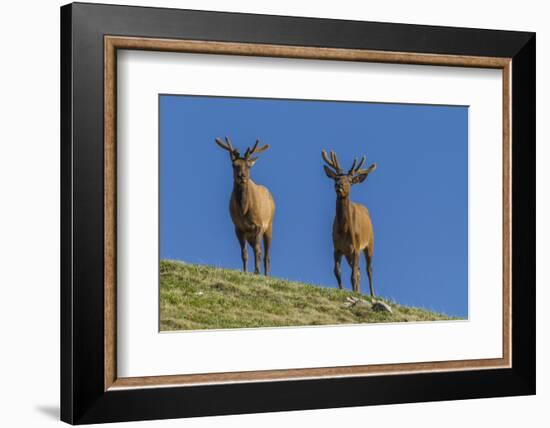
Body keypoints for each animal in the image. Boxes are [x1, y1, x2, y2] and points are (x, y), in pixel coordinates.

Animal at [216, 139, 276, 276]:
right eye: (234, 165)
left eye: (248, 166)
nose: (241, 176)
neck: (244, 209)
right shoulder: (239, 228)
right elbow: (244, 253)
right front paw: (245, 271)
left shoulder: (259, 225)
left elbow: (258, 251)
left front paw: (256, 271)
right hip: (250, 236)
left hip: (269, 226)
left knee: (266, 255)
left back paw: (266, 275)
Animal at [324, 151, 380, 298]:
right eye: (336, 178)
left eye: (350, 181)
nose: (339, 185)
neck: (343, 230)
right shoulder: (337, 248)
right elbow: (337, 271)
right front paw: (342, 289)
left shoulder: (356, 247)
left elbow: (353, 275)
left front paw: (354, 292)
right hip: (349, 253)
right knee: (359, 271)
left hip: (370, 243)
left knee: (368, 269)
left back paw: (372, 294)